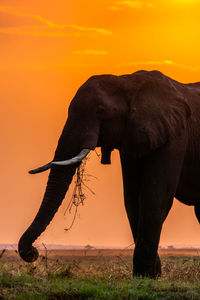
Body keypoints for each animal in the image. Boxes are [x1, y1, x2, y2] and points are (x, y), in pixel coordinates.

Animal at [18, 69, 200, 278]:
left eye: (100, 111)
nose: (33, 253)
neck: (128, 81)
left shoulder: (175, 137)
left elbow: (154, 197)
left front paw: (146, 276)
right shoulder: (131, 139)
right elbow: (132, 199)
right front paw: (148, 276)